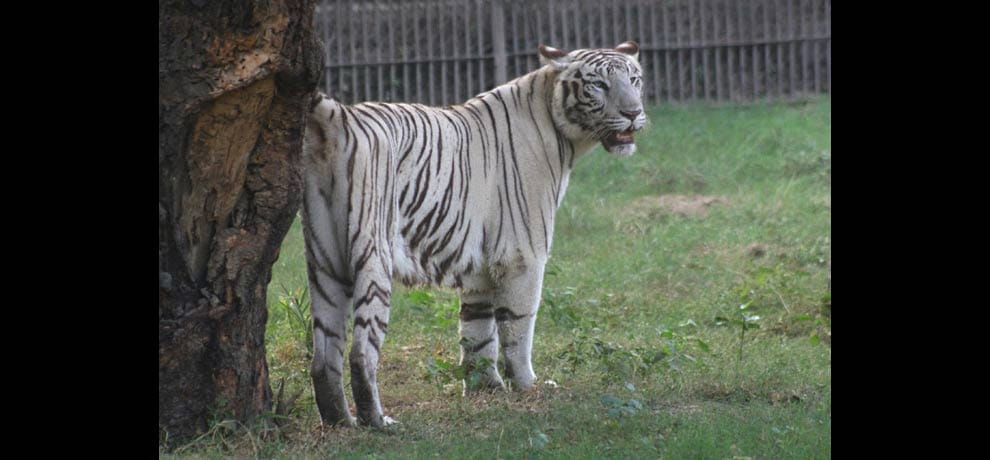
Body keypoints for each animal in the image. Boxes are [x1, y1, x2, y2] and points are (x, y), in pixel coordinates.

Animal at [301, 41, 647, 427]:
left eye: (634, 79)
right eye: (599, 85)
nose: (634, 112)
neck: (562, 134)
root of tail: (340, 116)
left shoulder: (479, 265)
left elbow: (478, 331)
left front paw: (487, 388)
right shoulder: (522, 255)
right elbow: (518, 327)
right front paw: (528, 386)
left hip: (325, 260)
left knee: (323, 355)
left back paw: (338, 420)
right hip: (373, 253)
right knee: (361, 350)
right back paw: (378, 421)